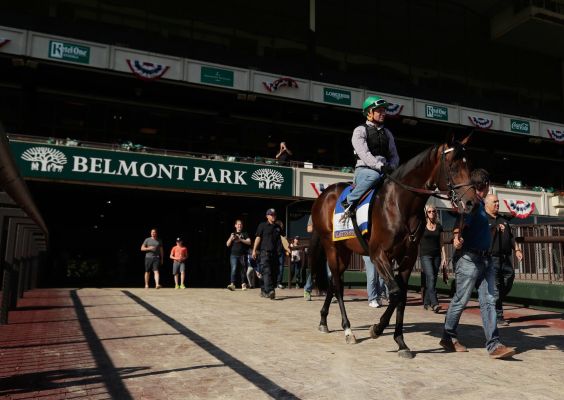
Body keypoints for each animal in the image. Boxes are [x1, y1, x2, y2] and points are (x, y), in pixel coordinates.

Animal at [308, 136, 476, 358]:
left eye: (469, 164)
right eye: (454, 166)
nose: (472, 201)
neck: (400, 204)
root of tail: (323, 195)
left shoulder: (408, 258)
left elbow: (402, 296)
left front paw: (401, 342)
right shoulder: (379, 255)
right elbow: (395, 292)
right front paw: (377, 329)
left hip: (344, 251)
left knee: (334, 284)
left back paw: (323, 320)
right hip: (332, 248)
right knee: (338, 286)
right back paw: (348, 329)